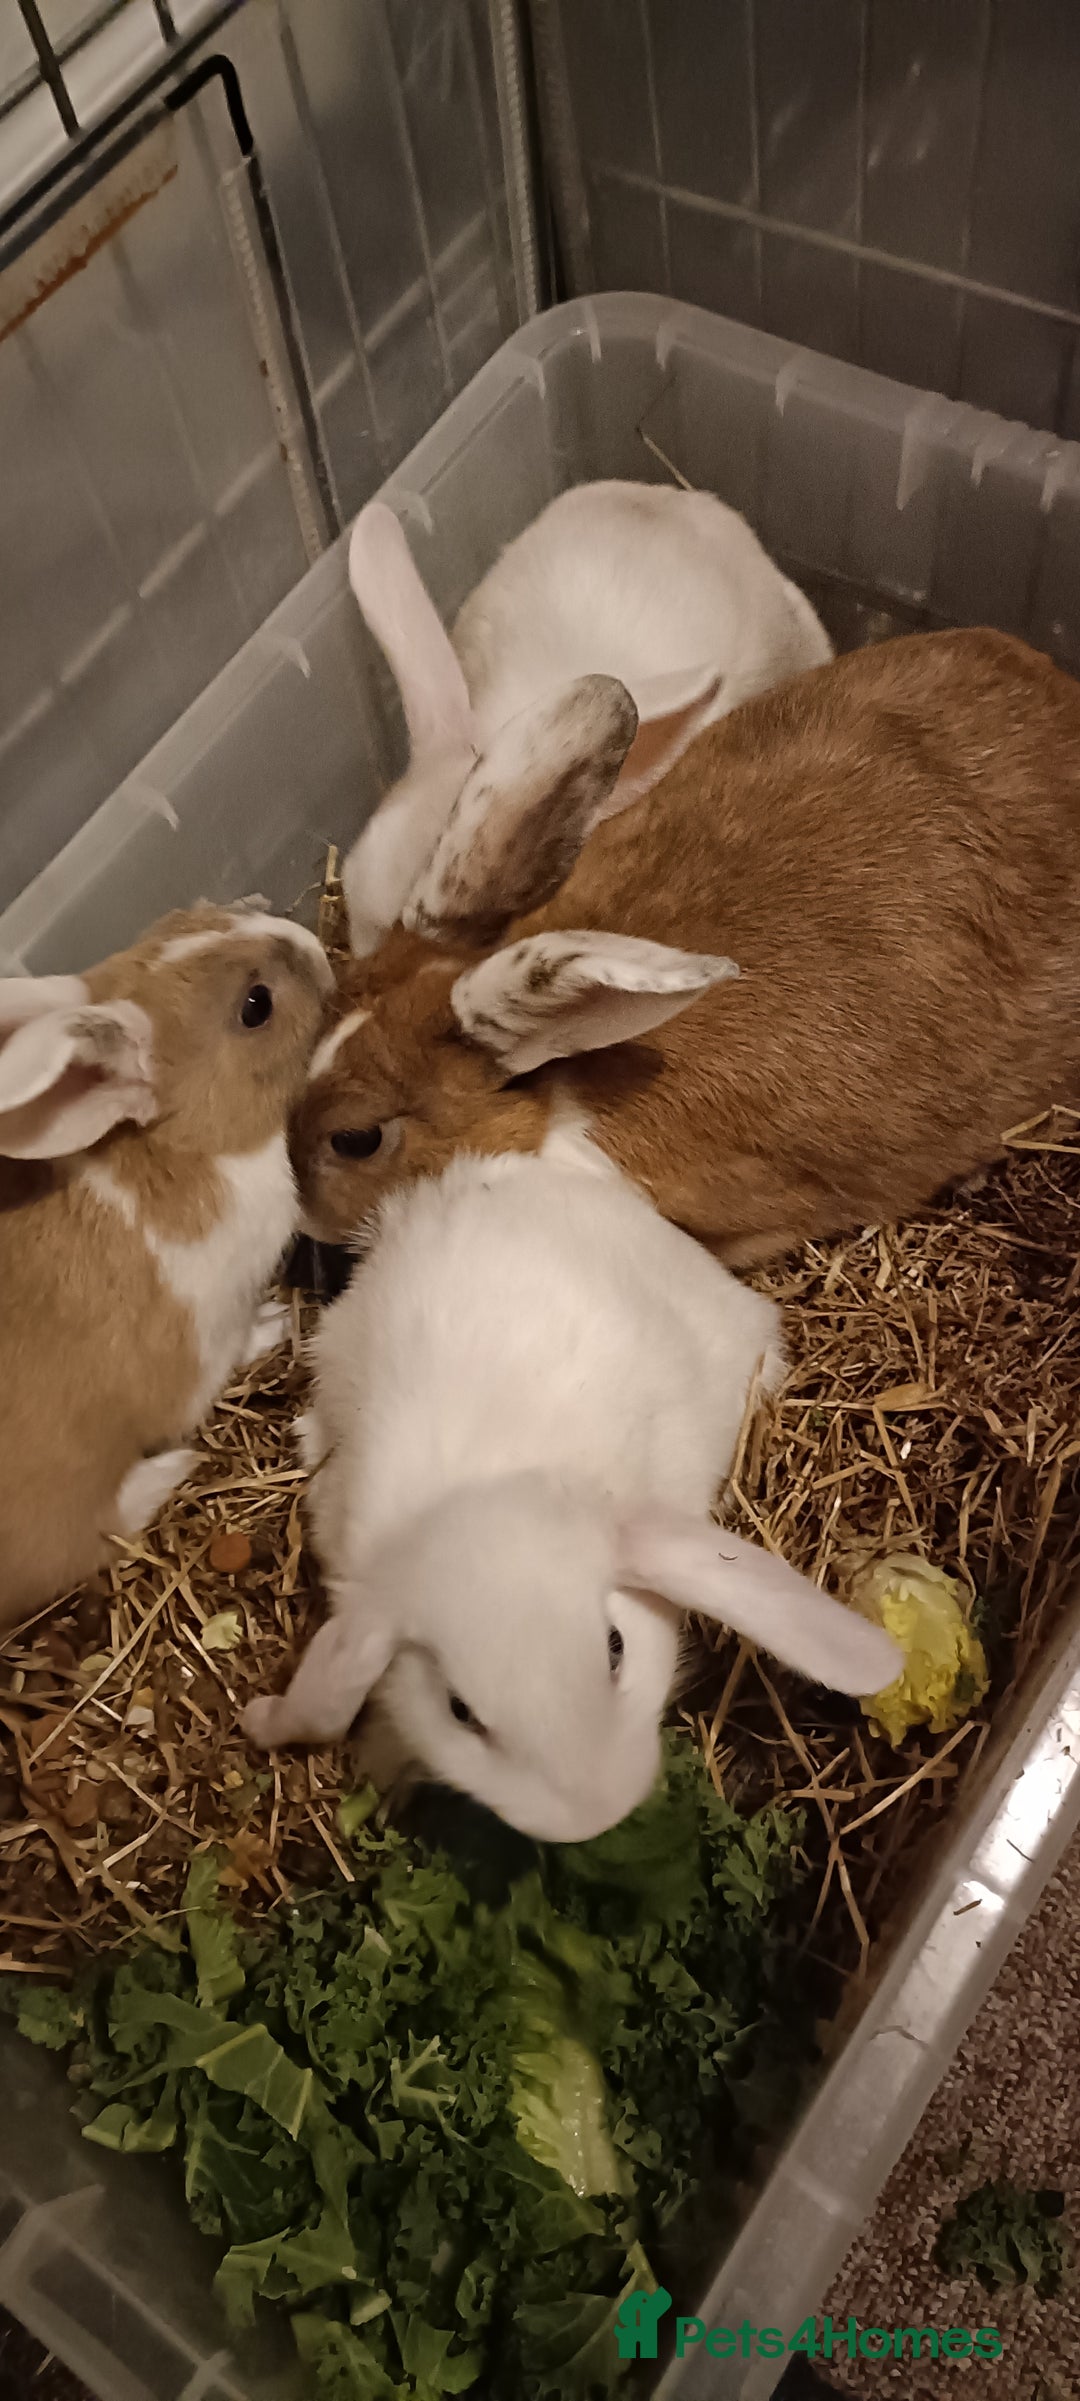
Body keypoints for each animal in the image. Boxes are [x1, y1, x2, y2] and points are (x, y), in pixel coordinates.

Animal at [0, 903, 333, 1629]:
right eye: (255, 1006)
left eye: (196, 912)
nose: (313, 947)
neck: (183, 1147)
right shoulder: (206, 1335)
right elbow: (228, 1352)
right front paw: (273, 1324)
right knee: (91, 1534)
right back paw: (175, 1466)